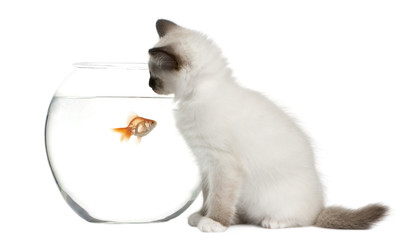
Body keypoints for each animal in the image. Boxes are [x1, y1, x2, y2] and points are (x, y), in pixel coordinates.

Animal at [149, 19, 390, 232]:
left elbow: (219, 199)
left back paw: (273, 222)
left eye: (154, 75)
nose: (149, 85)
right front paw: (201, 216)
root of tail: (320, 208)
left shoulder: (222, 163)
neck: (199, 93)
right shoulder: (205, 163)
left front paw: (214, 223)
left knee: (303, 220)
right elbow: (209, 196)